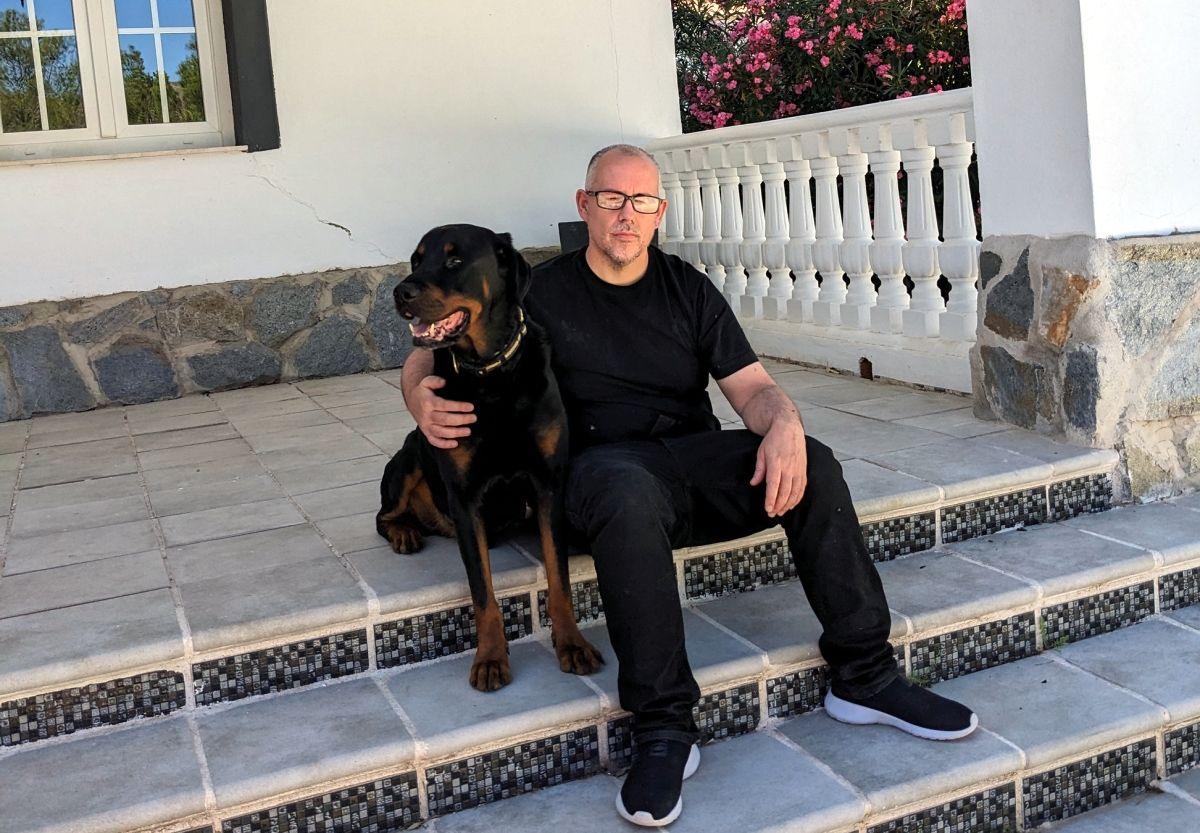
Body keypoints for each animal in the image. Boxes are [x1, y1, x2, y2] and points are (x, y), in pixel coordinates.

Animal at [379, 226, 604, 691]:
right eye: (415, 260)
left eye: (453, 260)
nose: (400, 291)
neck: (491, 373)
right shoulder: (465, 498)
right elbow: (482, 592)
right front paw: (490, 659)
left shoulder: (548, 484)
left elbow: (559, 578)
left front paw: (572, 644)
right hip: (410, 455)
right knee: (384, 515)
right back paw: (405, 531)